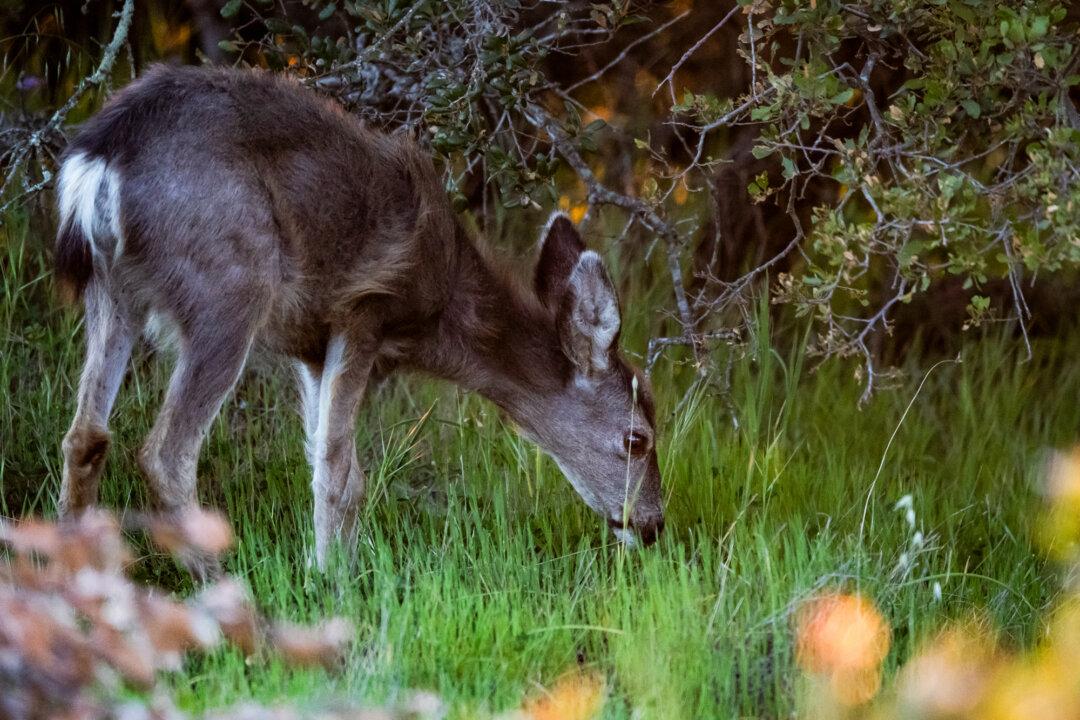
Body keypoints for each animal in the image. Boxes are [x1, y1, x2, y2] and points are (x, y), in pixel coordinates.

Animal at [54, 64, 664, 575]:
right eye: (637, 439)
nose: (652, 525)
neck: (442, 308)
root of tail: (100, 159)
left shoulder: (310, 346)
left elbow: (324, 458)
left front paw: (326, 562)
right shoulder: (364, 310)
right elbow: (339, 469)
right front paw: (333, 578)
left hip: (114, 287)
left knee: (85, 434)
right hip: (227, 285)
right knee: (165, 452)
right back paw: (222, 586)